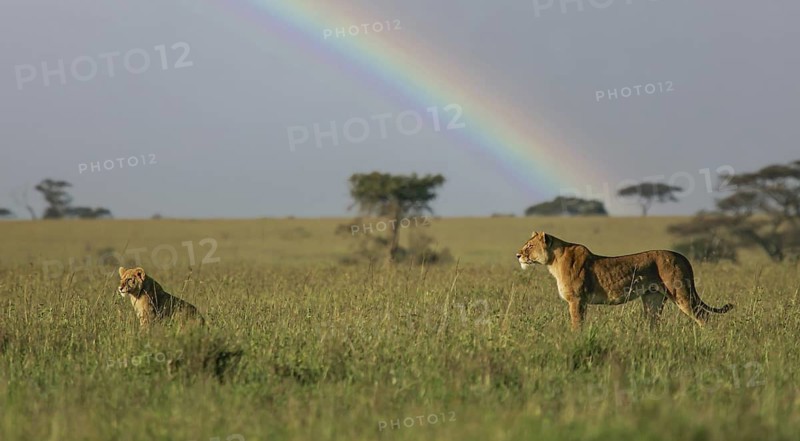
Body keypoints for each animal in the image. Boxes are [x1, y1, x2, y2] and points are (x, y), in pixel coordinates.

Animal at [516, 232, 733, 329]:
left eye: (529, 246)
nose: (518, 255)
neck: (553, 260)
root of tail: (681, 255)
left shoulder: (577, 300)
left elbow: (576, 323)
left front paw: (574, 339)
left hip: (680, 293)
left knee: (703, 316)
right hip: (653, 298)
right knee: (654, 322)